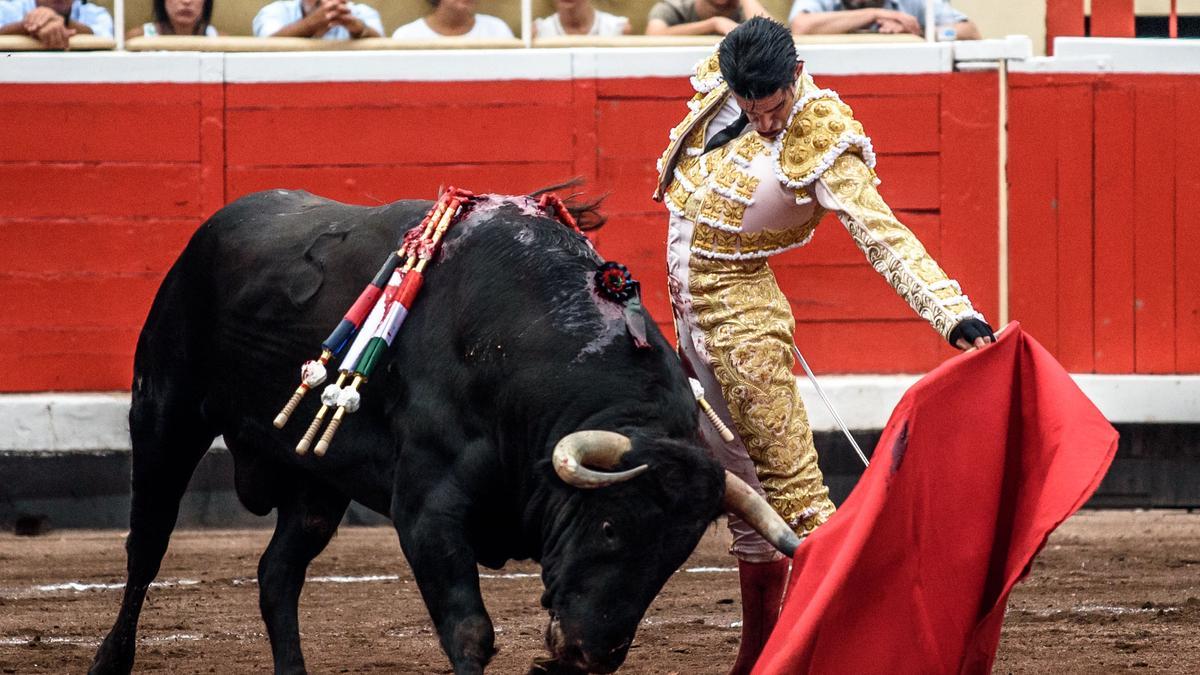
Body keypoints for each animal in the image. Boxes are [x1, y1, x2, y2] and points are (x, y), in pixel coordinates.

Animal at [87, 189, 796, 672]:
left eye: (674, 557)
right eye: (610, 527)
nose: (590, 653)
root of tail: (210, 229)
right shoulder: (427, 510)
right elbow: (469, 630)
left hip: (317, 486)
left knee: (276, 575)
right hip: (165, 416)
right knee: (146, 546)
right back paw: (109, 659)